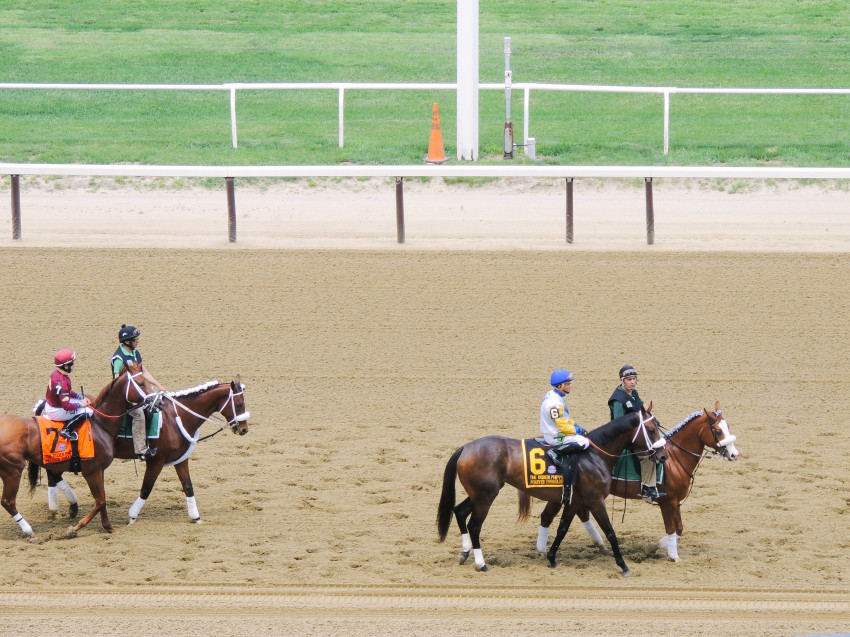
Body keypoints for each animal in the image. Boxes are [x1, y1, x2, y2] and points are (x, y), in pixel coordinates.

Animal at [0, 370, 147, 540]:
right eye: (142, 383)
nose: (158, 400)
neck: (99, 425)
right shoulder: (91, 471)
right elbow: (100, 501)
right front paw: (75, 528)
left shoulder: (100, 470)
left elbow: (102, 499)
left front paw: (108, 527)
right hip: (12, 471)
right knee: (8, 501)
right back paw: (29, 531)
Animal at [40, 376, 248, 524]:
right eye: (239, 404)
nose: (244, 429)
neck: (176, 417)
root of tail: (45, 406)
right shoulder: (156, 461)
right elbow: (146, 488)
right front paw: (132, 516)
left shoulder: (181, 459)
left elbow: (188, 486)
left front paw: (195, 516)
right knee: (52, 475)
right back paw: (59, 508)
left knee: (53, 475)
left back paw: (67, 506)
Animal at [440, 402, 664, 576]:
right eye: (651, 430)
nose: (662, 456)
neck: (593, 455)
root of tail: (466, 447)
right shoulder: (595, 500)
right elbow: (610, 532)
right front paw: (623, 565)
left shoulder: (575, 501)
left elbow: (562, 529)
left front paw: (551, 557)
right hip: (485, 496)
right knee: (474, 526)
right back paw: (481, 563)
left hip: (480, 494)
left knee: (459, 511)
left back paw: (465, 552)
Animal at [532, 402, 740, 560]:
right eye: (717, 430)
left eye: (728, 427)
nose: (733, 454)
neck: (674, 458)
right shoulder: (667, 502)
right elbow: (671, 529)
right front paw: (671, 555)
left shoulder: (676, 502)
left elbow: (679, 529)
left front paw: (655, 547)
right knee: (547, 516)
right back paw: (542, 551)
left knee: (580, 514)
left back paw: (600, 546)